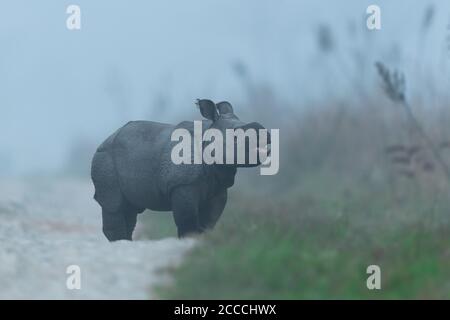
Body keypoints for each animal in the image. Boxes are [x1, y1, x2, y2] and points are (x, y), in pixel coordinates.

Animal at [89, 99, 268, 240]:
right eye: (236, 138)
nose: (262, 131)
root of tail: (106, 139)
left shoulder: (219, 187)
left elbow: (209, 222)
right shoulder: (182, 184)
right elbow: (187, 221)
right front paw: (189, 240)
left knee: (129, 209)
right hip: (105, 157)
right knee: (114, 205)